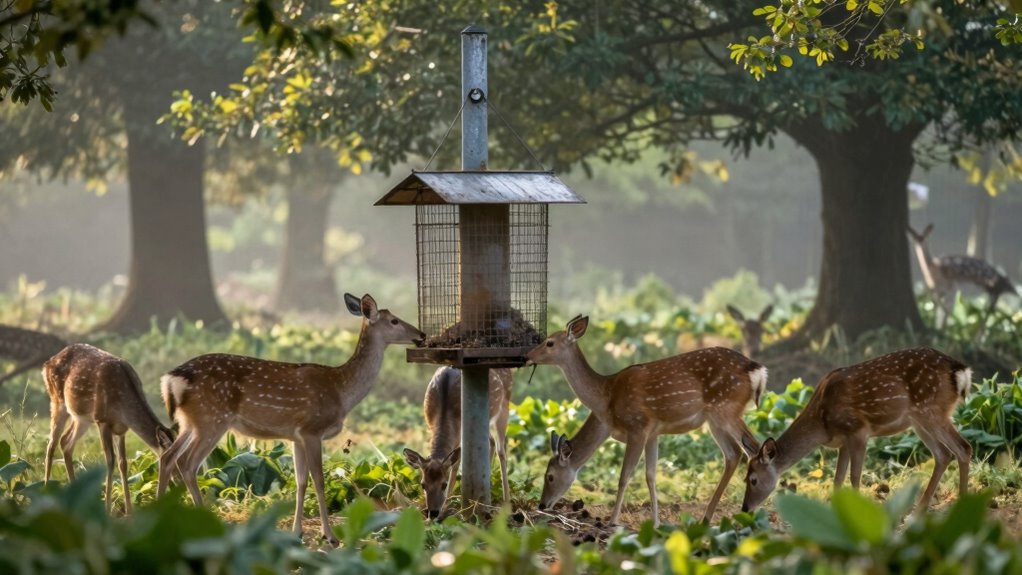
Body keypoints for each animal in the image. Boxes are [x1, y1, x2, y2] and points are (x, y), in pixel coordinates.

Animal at [42, 343, 175, 514]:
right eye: (176, 461)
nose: (179, 484)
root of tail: (47, 363)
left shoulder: (122, 428)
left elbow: (123, 463)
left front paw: (129, 510)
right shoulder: (102, 420)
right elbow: (110, 460)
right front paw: (107, 509)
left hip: (82, 418)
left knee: (65, 441)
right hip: (57, 401)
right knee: (51, 444)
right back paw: (45, 493)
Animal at [156, 293, 424, 545]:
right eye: (394, 320)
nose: (421, 334)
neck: (342, 391)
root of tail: (171, 379)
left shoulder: (296, 436)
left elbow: (300, 481)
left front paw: (297, 532)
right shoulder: (312, 429)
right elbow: (318, 480)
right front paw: (330, 536)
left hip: (190, 422)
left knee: (168, 456)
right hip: (212, 419)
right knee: (188, 463)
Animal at [402, 366, 513, 519]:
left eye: (444, 484)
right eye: (423, 484)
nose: (433, 512)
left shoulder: (461, 434)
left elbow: (455, 467)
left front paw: (447, 509)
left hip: (505, 406)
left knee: (501, 450)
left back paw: (507, 504)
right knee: (490, 442)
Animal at [526, 316, 767, 526]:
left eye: (549, 476)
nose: (542, 504)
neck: (605, 401)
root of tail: (758, 370)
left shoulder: (637, 426)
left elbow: (624, 476)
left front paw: (613, 521)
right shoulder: (653, 432)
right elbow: (651, 474)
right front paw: (656, 521)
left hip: (725, 409)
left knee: (755, 449)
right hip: (715, 420)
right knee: (734, 453)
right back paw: (707, 518)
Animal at [741, 347, 972, 513]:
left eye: (753, 480)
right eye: (744, 478)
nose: (745, 508)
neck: (822, 424)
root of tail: (961, 371)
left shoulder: (858, 430)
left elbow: (854, 476)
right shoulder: (843, 440)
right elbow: (837, 479)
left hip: (930, 410)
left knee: (963, 447)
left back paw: (962, 504)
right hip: (918, 421)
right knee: (943, 454)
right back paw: (919, 510)